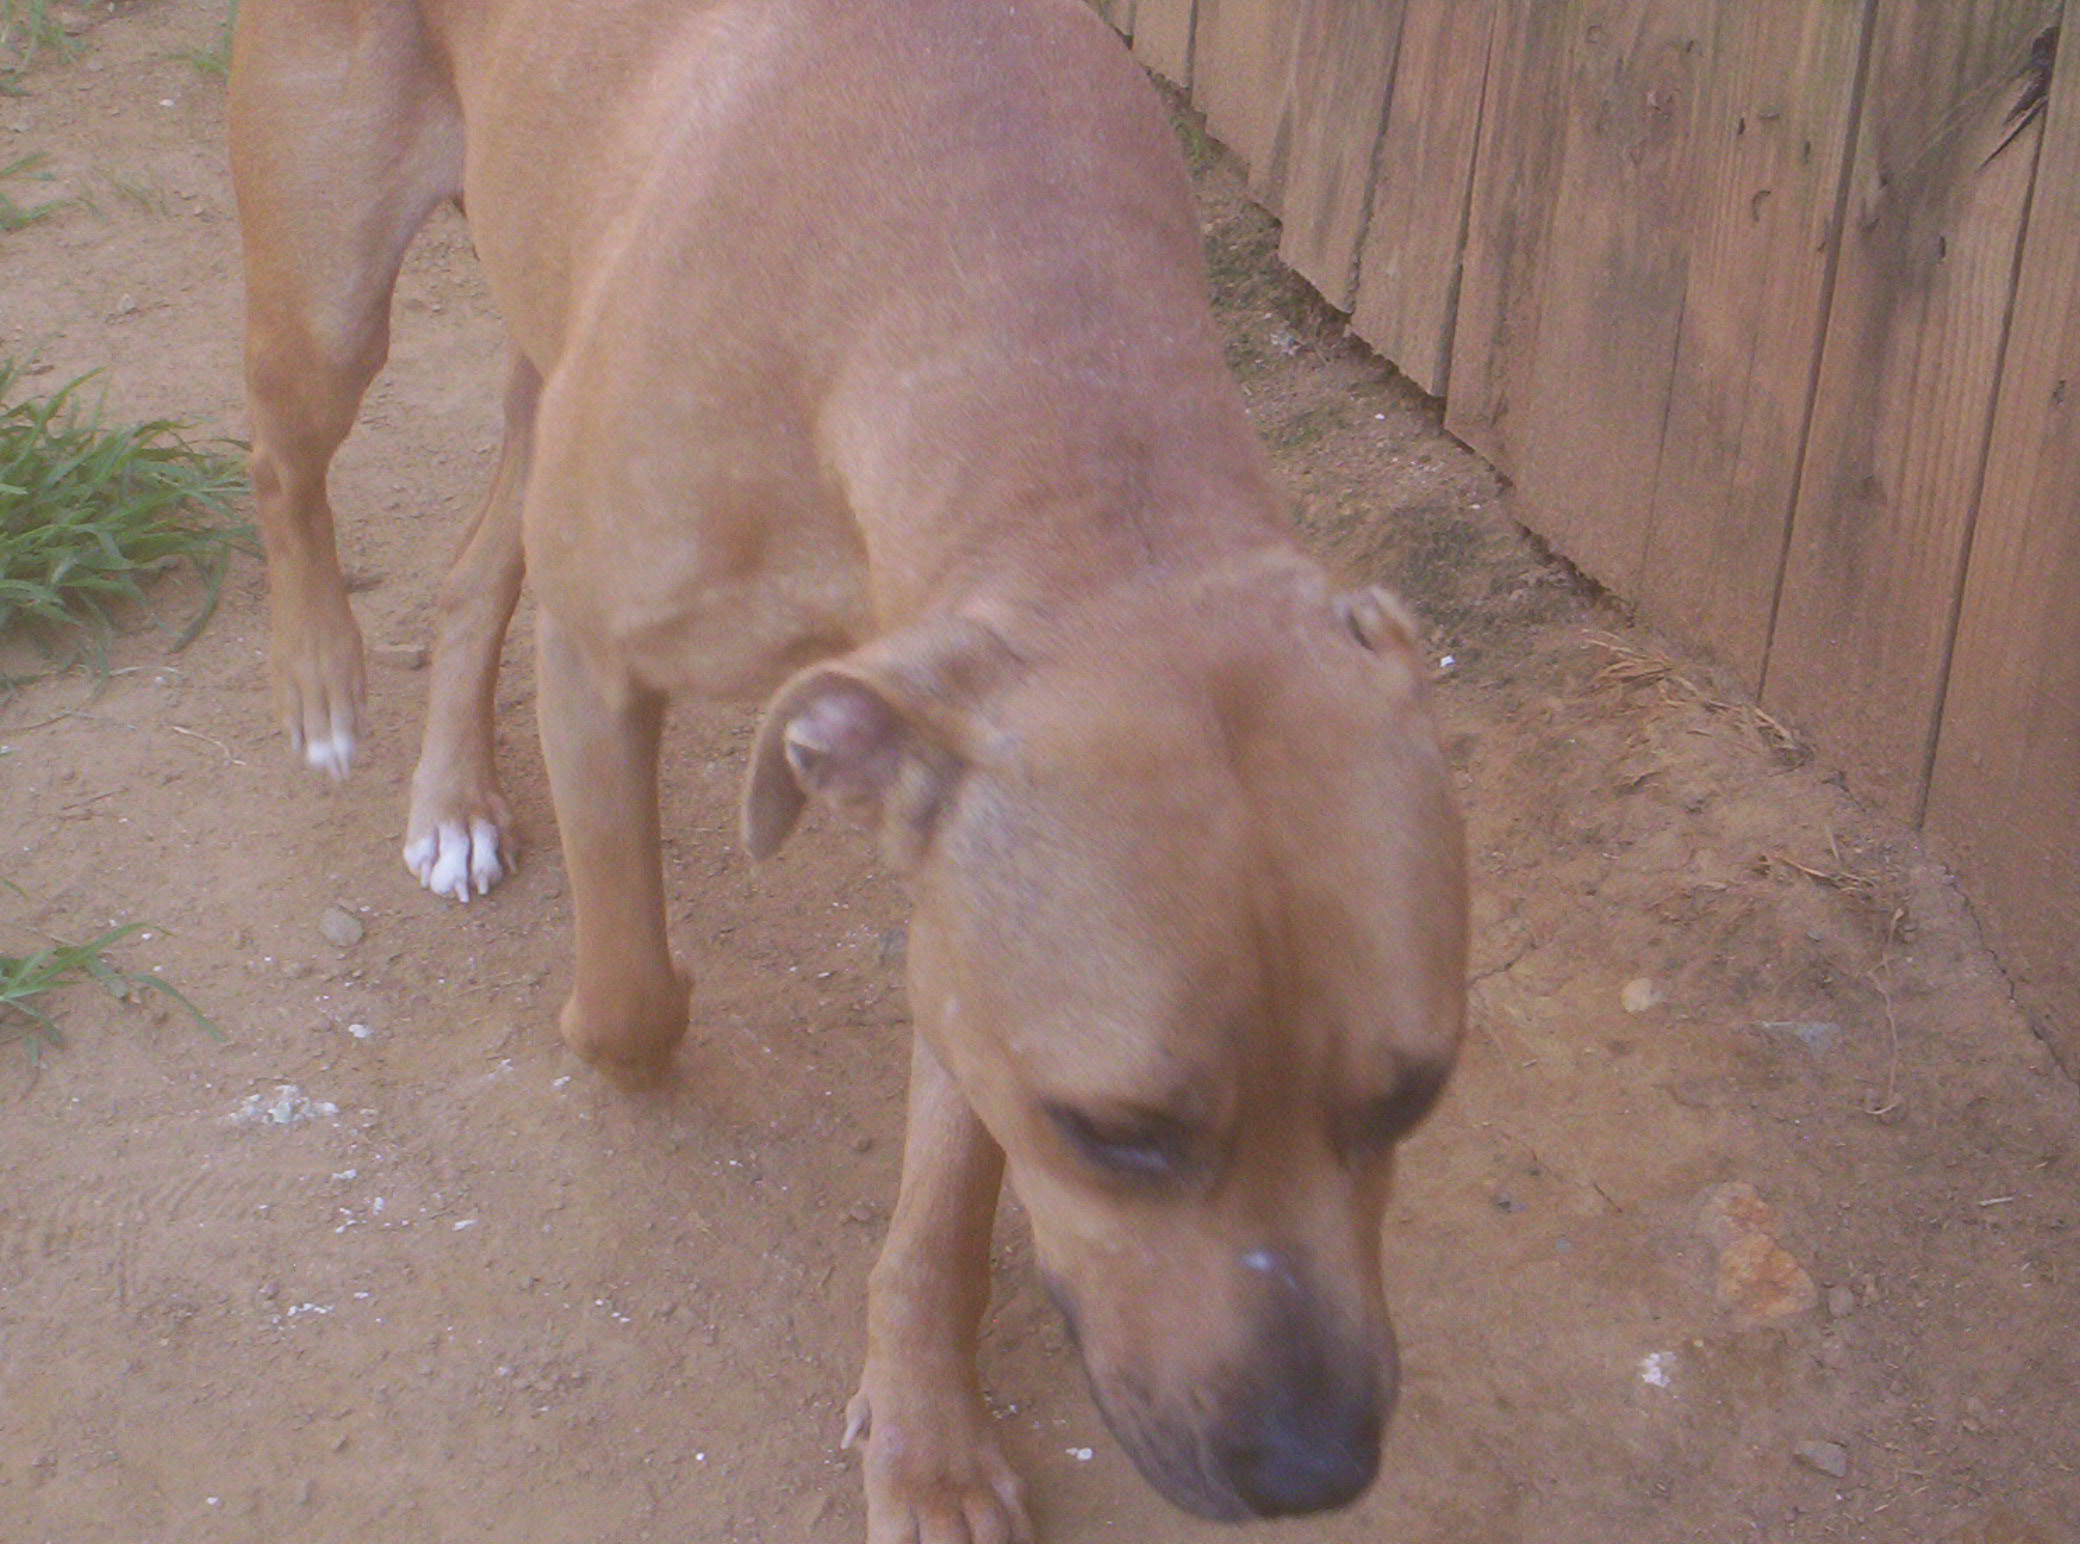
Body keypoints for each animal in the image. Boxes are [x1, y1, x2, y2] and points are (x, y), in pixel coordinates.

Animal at [227, 0, 1464, 1531]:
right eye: (1112, 1129)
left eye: (1416, 1091)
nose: (1311, 1468)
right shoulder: (600, 660)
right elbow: (632, 998)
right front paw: (606, 1027)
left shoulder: (969, 925)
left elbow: (944, 1215)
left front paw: (925, 1438)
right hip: (329, 295)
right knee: (284, 462)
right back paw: (320, 677)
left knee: (473, 565)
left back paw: (451, 793)